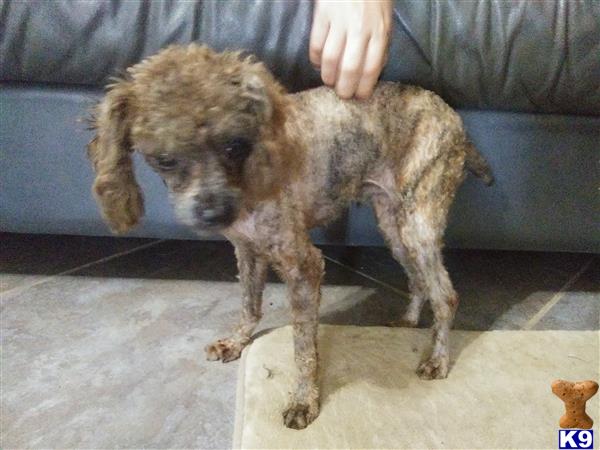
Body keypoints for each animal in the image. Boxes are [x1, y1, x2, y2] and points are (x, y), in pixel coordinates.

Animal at [88, 44, 492, 430]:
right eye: (165, 159)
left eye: (234, 144)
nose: (214, 214)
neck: (248, 178)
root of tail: (456, 120)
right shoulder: (248, 251)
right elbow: (249, 306)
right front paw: (237, 341)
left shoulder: (305, 266)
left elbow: (303, 348)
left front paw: (303, 400)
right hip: (395, 226)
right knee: (419, 280)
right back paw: (408, 321)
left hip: (418, 224)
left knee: (446, 294)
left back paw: (438, 359)